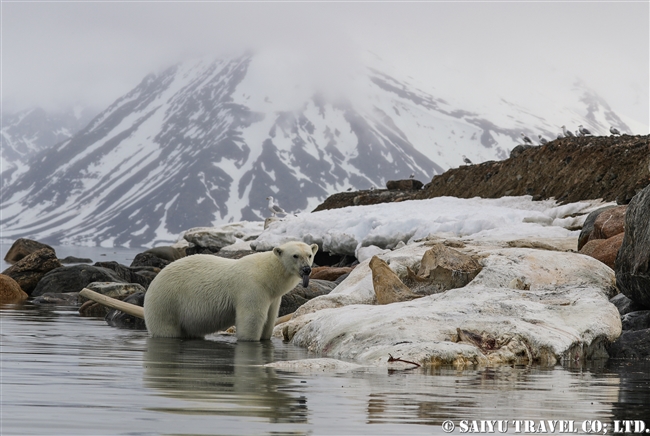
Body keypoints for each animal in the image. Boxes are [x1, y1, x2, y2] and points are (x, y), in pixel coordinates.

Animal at [143, 242, 318, 340]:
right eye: (295, 255)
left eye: (309, 255)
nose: (306, 269)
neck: (267, 275)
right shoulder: (252, 288)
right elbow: (252, 318)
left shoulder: (273, 297)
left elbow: (270, 320)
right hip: (167, 302)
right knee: (166, 329)